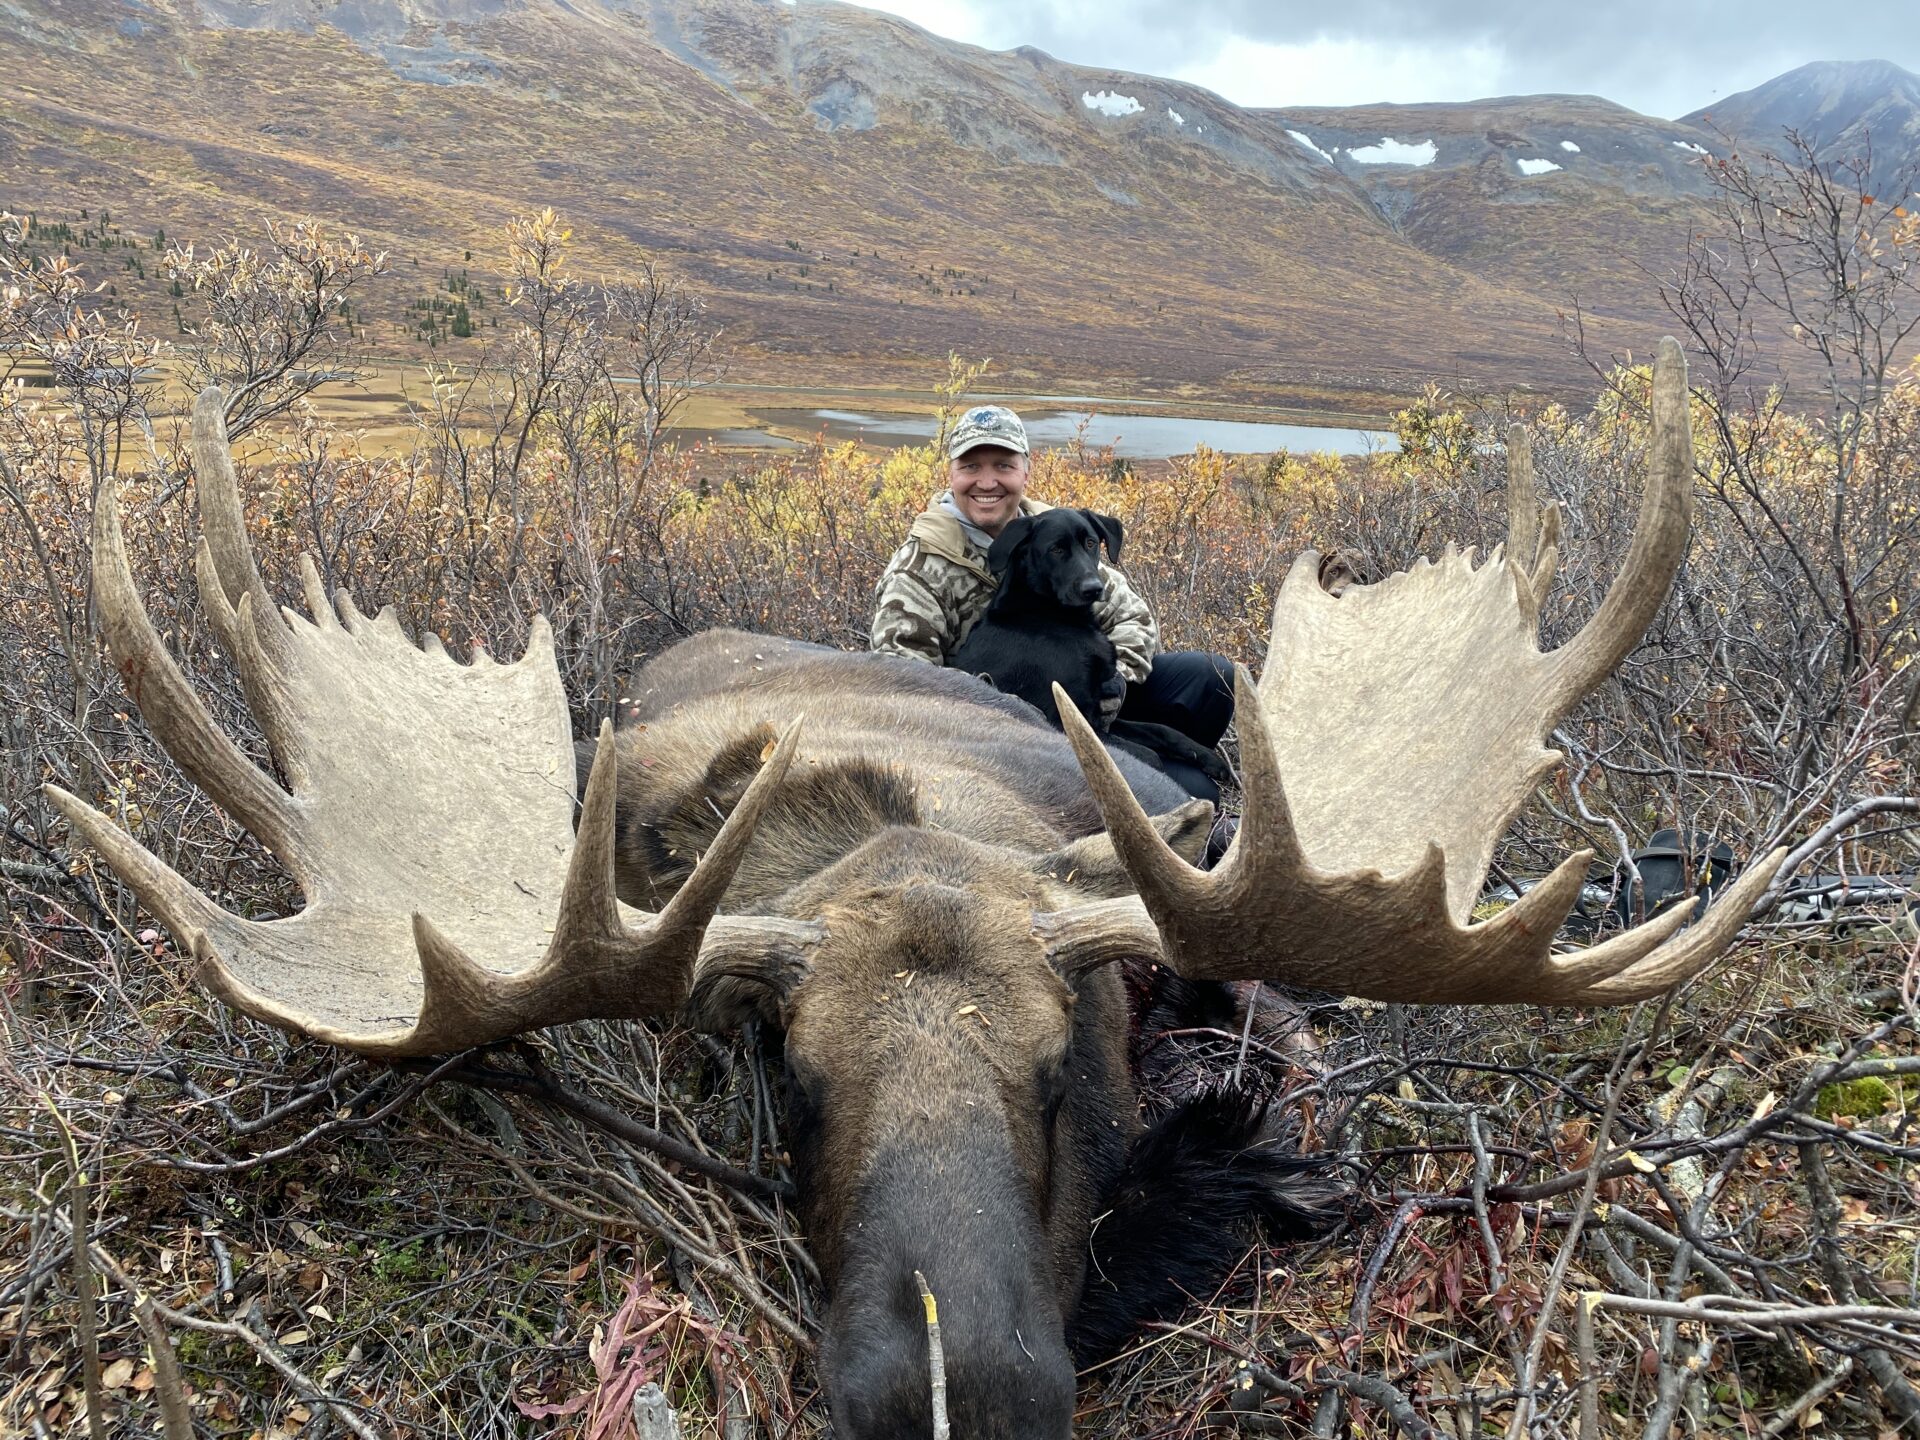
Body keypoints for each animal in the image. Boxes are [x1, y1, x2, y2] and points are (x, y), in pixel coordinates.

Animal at [948, 510, 1228, 791]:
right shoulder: (1064, 719)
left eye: (1091, 543)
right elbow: (1150, 758)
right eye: (1056, 549)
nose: (1093, 588)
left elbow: (1161, 729)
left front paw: (1208, 757)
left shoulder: (1099, 712)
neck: (1050, 615)